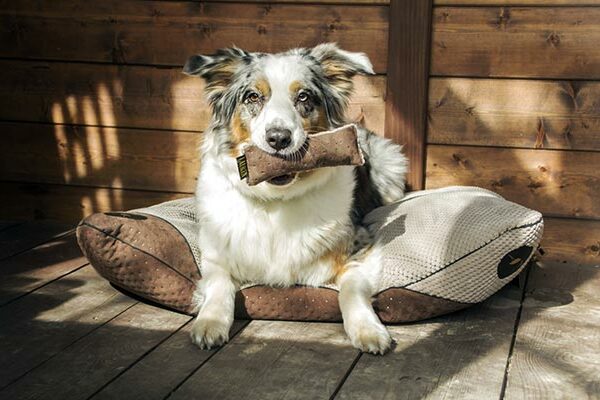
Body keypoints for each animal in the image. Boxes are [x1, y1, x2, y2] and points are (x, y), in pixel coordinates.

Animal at [183, 43, 408, 354]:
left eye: (303, 96)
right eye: (253, 96)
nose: (279, 138)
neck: (276, 200)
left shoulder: (360, 246)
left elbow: (352, 290)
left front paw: (369, 331)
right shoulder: (215, 253)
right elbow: (218, 283)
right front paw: (210, 322)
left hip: (391, 163)